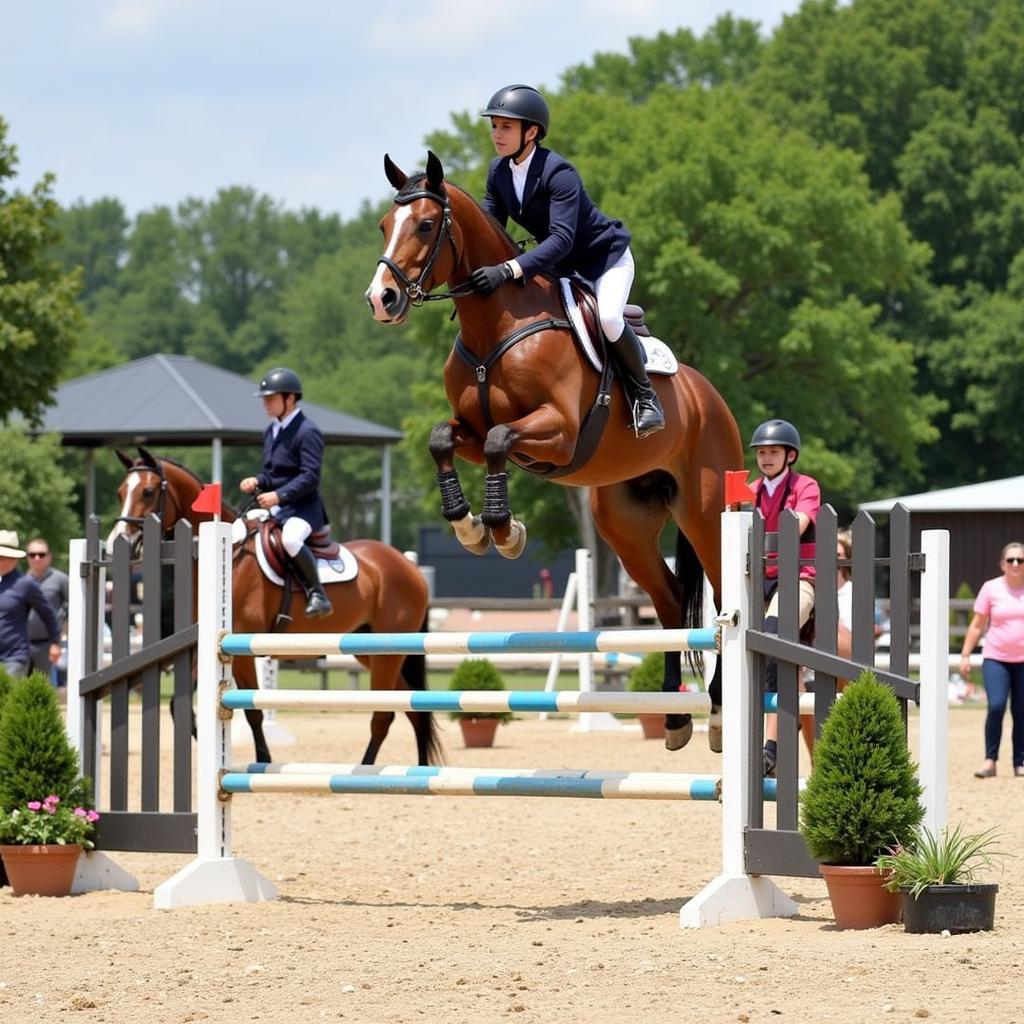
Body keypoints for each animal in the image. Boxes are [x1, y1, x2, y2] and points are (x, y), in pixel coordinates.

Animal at [108, 450, 440, 770]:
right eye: (120, 491)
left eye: (148, 491)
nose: (116, 543)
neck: (230, 555)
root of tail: (408, 566)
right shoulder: (210, 647)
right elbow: (181, 707)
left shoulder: (241, 647)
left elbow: (253, 711)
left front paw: (262, 760)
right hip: (373, 648)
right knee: (414, 709)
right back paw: (420, 770)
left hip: (389, 652)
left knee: (385, 714)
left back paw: (367, 772)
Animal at [364, 151, 741, 753]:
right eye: (383, 226)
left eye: (424, 225)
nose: (382, 299)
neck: (497, 322)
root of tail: (711, 398)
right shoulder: (472, 433)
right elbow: (443, 438)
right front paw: (470, 525)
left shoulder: (557, 432)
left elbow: (501, 439)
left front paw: (502, 530)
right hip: (624, 525)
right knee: (667, 598)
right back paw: (675, 720)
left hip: (706, 510)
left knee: (723, 595)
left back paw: (722, 715)